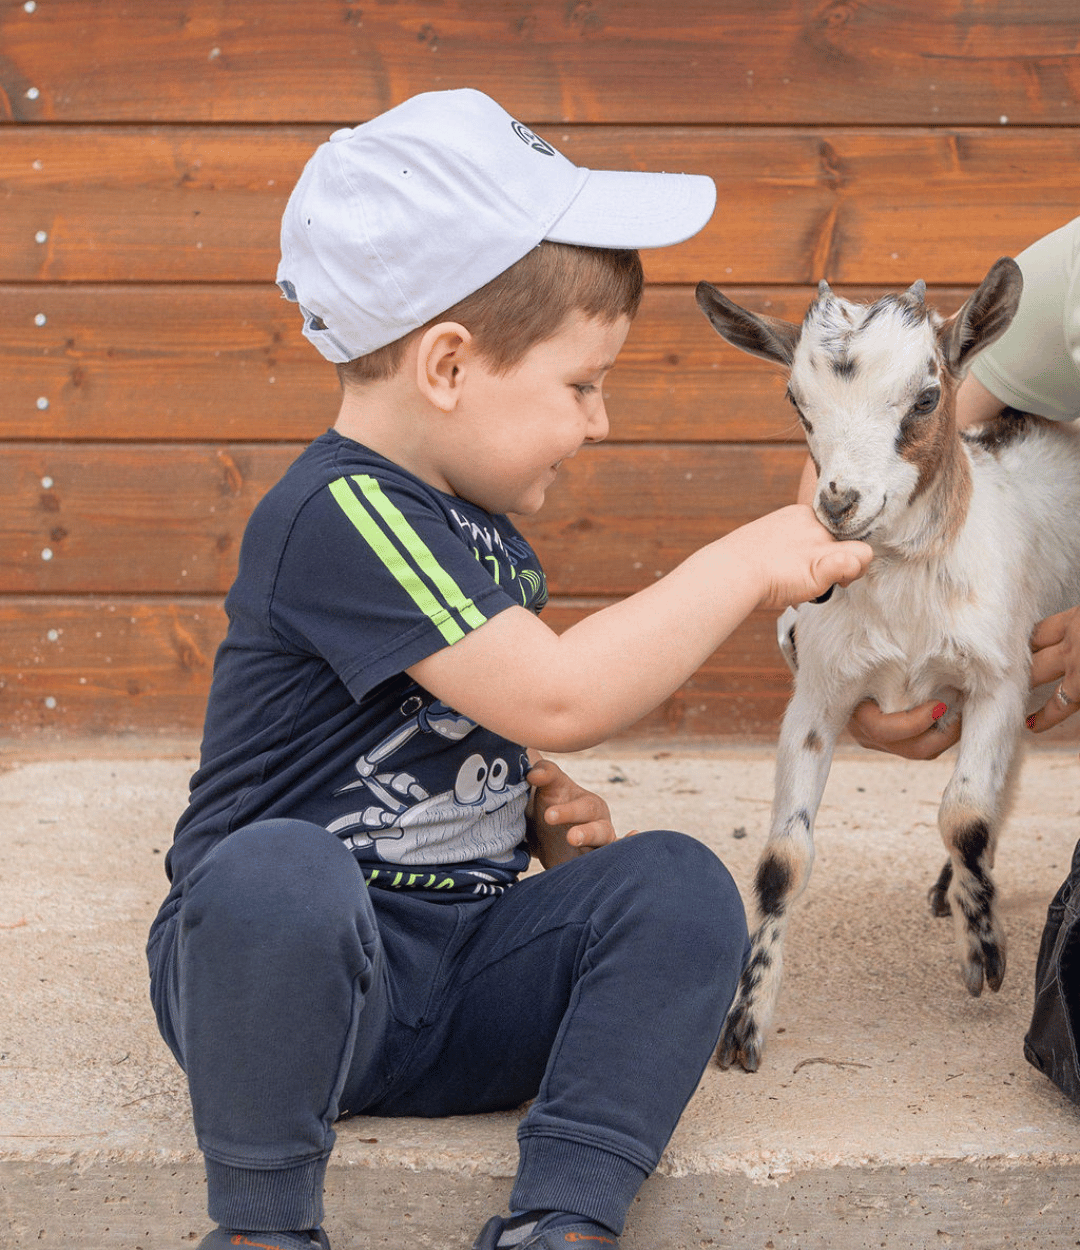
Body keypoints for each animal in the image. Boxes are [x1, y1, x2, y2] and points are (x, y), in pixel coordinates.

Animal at [695, 258, 1080, 1070]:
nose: (839, 502)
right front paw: (745, 1022)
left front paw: (984, 952)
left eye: (927, 397)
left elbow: (962, 813)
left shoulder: (999, 677)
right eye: (796, 400)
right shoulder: (816, 699)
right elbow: (783, 859)